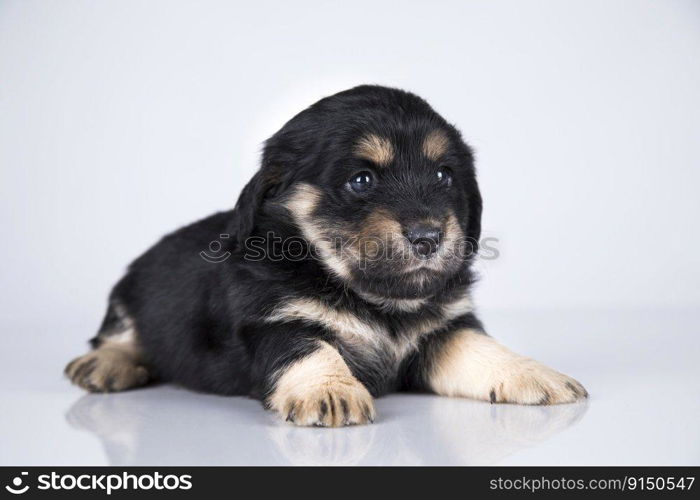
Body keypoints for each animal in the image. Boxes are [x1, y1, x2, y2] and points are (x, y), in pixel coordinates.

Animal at [65, 85, 588, 426]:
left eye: (443, 175)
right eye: (361, 180)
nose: (428, 237)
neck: (371, 297)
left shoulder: (444, 330)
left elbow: (483, 349)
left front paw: (534, 374)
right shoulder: (274, 322)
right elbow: (312, 348)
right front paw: (330, 391)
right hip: (131, 292)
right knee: (117, 334)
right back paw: (105, 364)